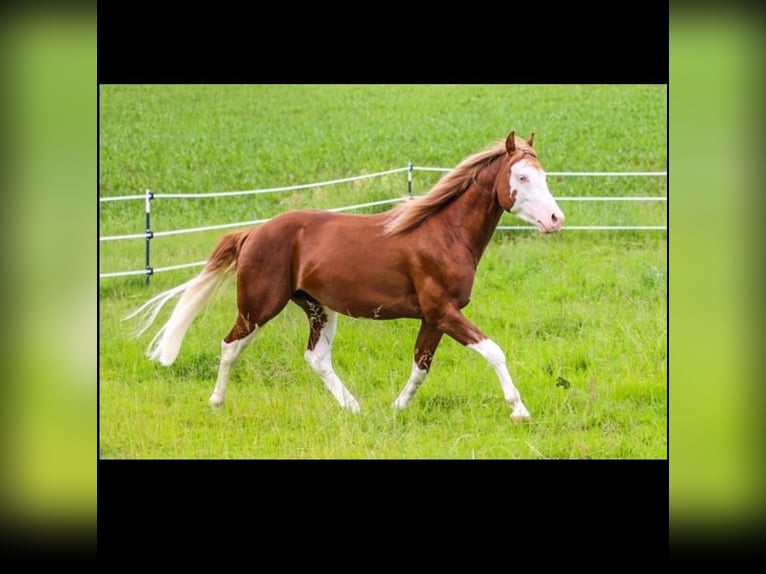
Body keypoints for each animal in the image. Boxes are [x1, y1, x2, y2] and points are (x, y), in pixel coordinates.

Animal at [125, 130, 565, 422]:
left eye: (542, 175)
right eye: (521, 177)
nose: (555, 219)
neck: (445, 234)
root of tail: (253, 232)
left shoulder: (434, 317)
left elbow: (421, 366)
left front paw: (396, 409)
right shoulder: (443, 311)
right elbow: (493, 351)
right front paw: (520, 410)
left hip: (318, 307)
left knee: (316, 358)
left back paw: (354, 407)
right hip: (259, 305)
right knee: (230, 345)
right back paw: (216, 404)